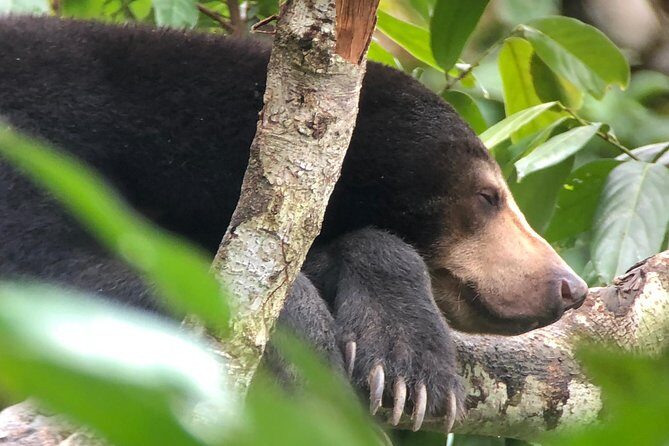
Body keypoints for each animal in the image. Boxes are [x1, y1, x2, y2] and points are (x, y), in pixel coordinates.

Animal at [0, 16, 588, 430]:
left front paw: (408, 364)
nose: (569, 286)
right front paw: (310, 349)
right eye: (487, 197)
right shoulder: (34, 144)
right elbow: (48, 271)